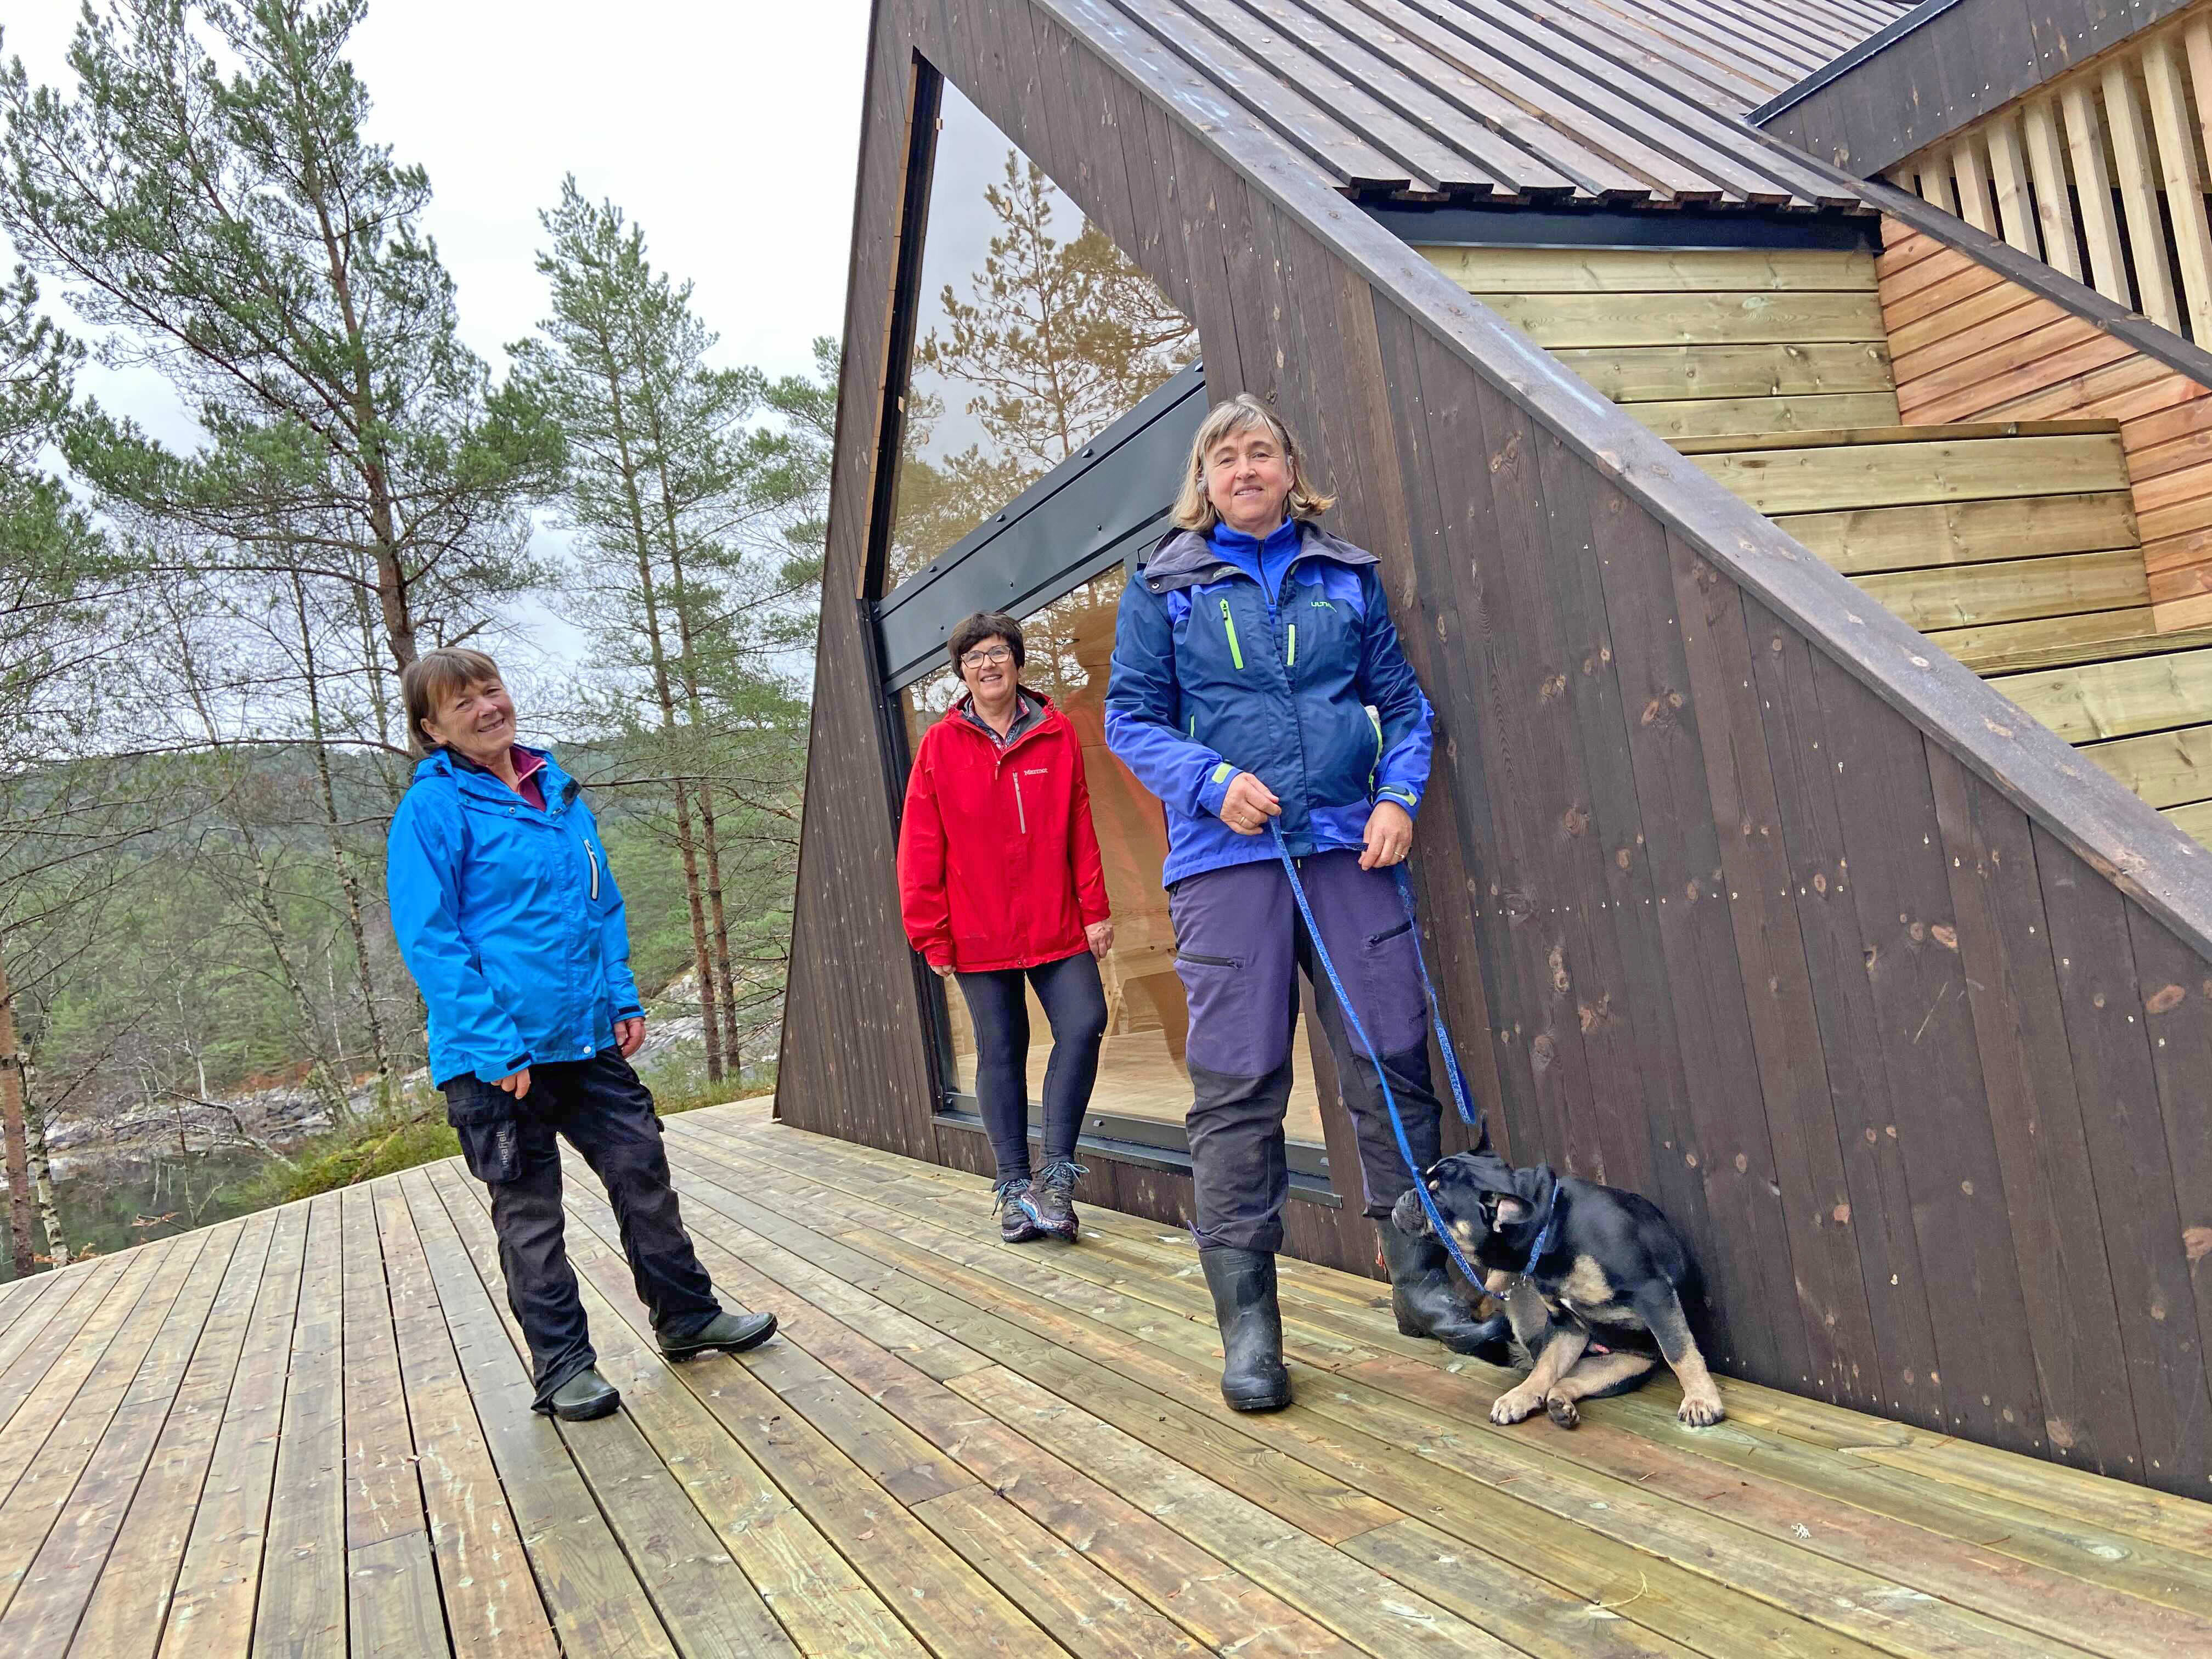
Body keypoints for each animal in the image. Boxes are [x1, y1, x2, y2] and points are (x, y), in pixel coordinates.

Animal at [1390, 1150, 1725, 1429]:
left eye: (1435, 1195)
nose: (1407, 1193)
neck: (1548, 1229)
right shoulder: (1567, 1325)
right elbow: (1548, 1364)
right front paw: (1522, 1395)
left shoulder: (1652, 1292)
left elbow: (1679, 1350)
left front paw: (1701, 1399)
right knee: (1558, 1376)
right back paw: (1548, 1400)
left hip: (1627, 1365)